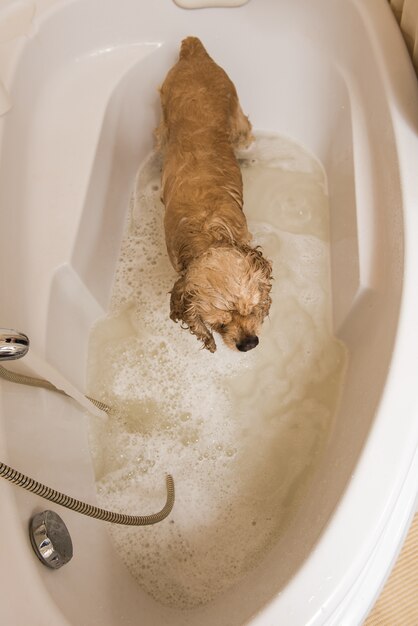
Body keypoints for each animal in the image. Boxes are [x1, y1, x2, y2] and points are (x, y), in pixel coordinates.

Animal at [155, 37, 272, 352]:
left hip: (238, 119)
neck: (207, 235)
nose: (249, 344)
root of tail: (193, 51)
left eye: (251, 309)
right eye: (220, 323)